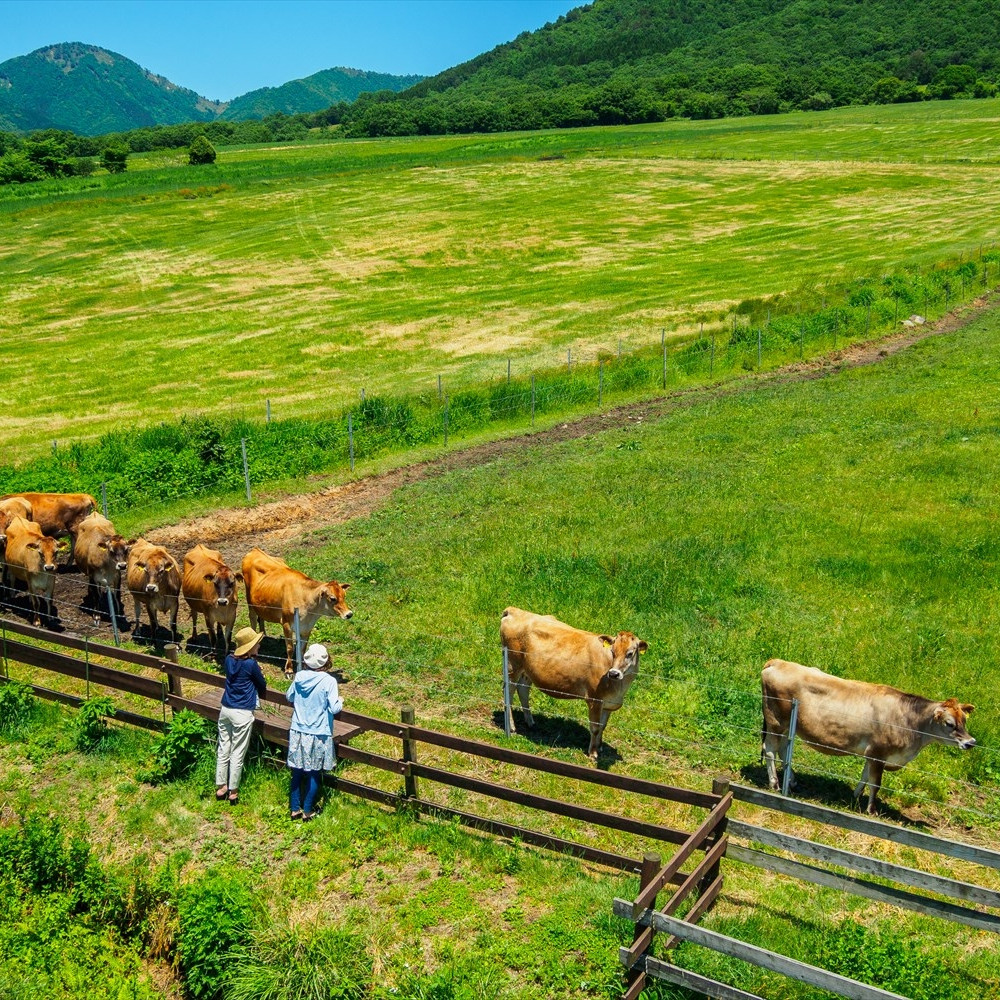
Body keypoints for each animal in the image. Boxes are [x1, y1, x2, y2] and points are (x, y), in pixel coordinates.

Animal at [240, 548, 354, 680]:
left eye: (344, 596)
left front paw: (305, 667)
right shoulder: (286, 624)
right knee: (252, 619)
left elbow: (302, 649)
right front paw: (289, 670)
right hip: (250, 601)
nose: (349, 614)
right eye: (332, 598)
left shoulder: (307, 627)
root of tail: (255, 549)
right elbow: (290, 648)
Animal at [498, 604, 648, 760]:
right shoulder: (594, 700)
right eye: (612, 651)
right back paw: (511, 727)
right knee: (508, 692)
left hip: (527, 670)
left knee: (523, 689)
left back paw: (530, 722)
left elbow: (603, 726)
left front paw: (600, 747)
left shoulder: (609, 703)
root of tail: (514, 610)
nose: (614, 673)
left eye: (630, 653)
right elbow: (595, 727)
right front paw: (593, 753)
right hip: (512, 665)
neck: (619, 689)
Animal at [760, 660, 972, 816]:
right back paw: (775, 783)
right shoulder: (879, 753)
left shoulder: (871, 753)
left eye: (964, 720)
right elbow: (875, 783)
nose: (971, 742)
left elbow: (865, 775)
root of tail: (777, 662)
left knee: (783, 749)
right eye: (949, 723)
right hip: (775, 722)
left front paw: (855, 796)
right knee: (770, 750)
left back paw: (791, 781)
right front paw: (872, 810)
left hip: (788, 726)